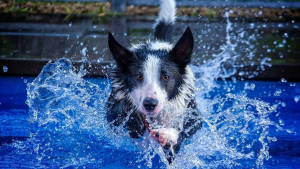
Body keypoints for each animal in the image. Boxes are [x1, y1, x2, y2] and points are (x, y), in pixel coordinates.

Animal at [105, 0, 202, 164]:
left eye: (165, 76)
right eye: (138, 76)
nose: (150, 104)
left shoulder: (192, 118)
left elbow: (180, 133)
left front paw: (168, 135)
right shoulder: (114, 109)